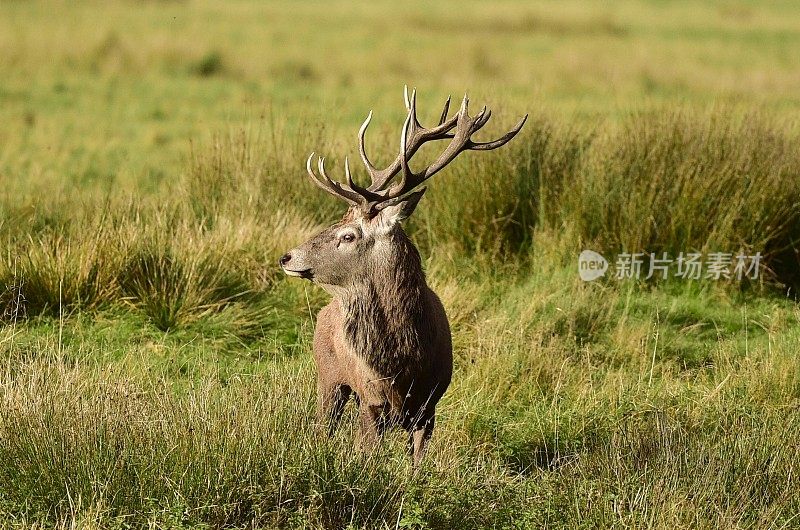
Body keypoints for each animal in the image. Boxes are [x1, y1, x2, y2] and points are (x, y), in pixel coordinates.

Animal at [278, 87, 528, 462]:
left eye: (348, 235)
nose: (287, 257)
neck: (404, 364)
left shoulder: (431, 403)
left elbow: (418, 463)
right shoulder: (371, 400)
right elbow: (367, 456)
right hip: (328, 377)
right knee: (324, 426)